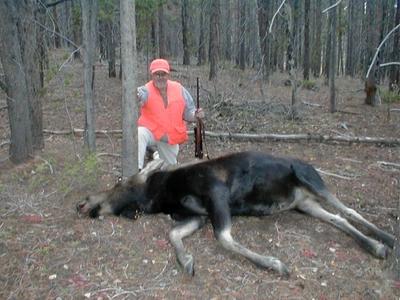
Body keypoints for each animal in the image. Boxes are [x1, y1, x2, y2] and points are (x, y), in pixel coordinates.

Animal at [77, 151, 394, 276]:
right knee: (337, 218)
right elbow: (172, 234)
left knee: (347, 208)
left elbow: (224, 238)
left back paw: (385, 239)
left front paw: (274, 263)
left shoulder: (215, 193)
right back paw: (374, 245)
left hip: (310, 179)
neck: (161, 196)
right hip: (305, 204)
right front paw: (187, 260)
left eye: (119, 182)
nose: (82, 203)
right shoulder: (196, 215)